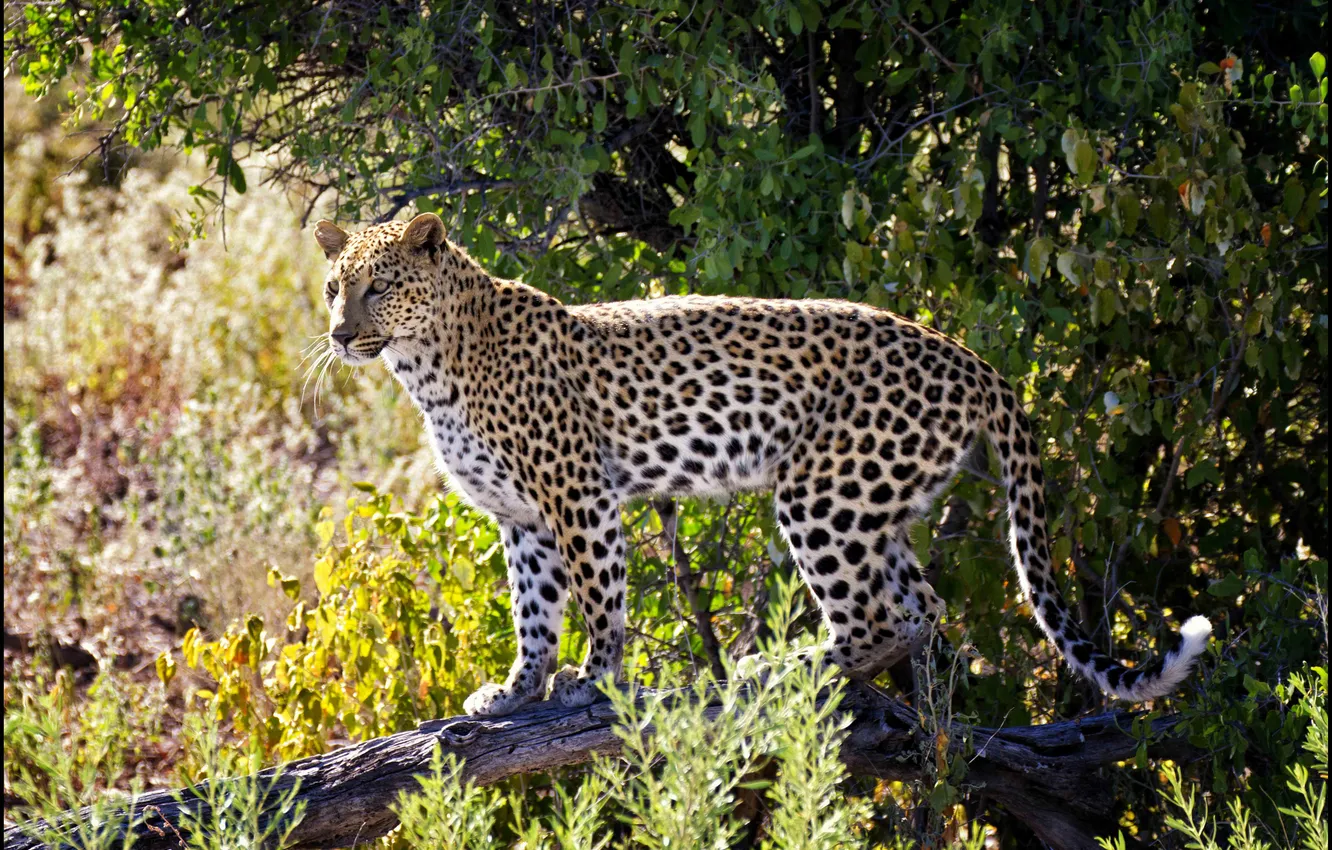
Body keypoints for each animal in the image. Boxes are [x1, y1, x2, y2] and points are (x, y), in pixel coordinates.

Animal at [309, 213, 1209, 719]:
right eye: (333, 287)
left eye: (380, 286)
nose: (341, 334)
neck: (428, 368)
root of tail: (971, 358)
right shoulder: (523, 516)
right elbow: (533, 610)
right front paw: (518, 688)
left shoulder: (578, 496)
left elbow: (598, 600)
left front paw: (592, 680)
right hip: (877, 502)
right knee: (920, 608)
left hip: (821, 494)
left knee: (869, 620)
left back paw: (777, 665)